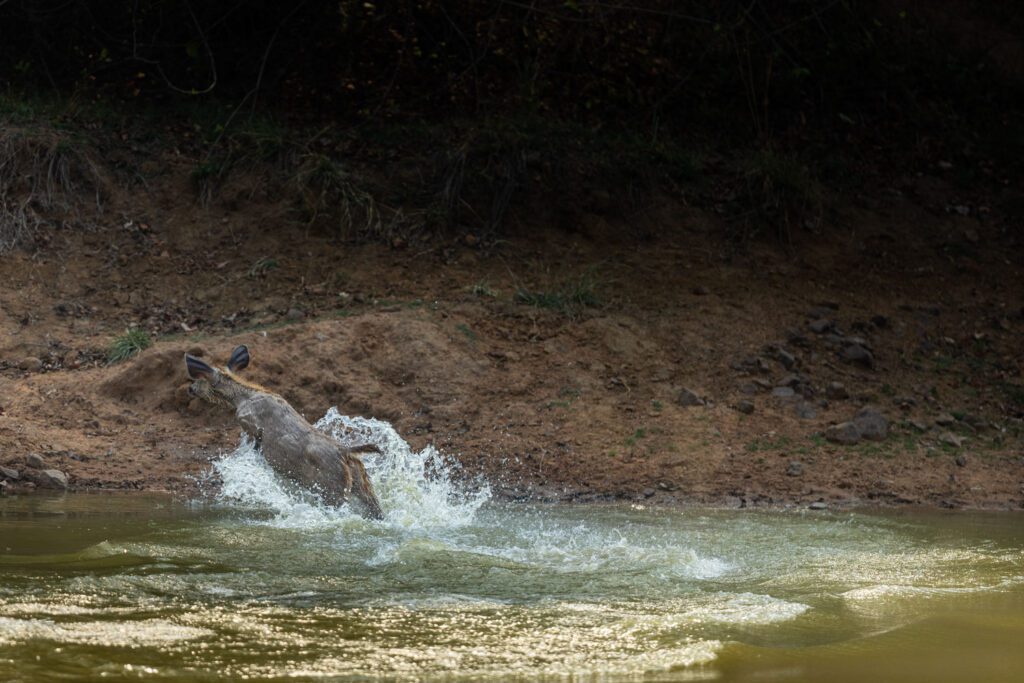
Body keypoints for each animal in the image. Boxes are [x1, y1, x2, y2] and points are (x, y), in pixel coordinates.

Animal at [184, 345, 384, 519]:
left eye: (199, 379)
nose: (190, 389)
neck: (242, 398)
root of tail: (346, 451)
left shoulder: (249, 424)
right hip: (364, 486)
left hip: (332, 489)